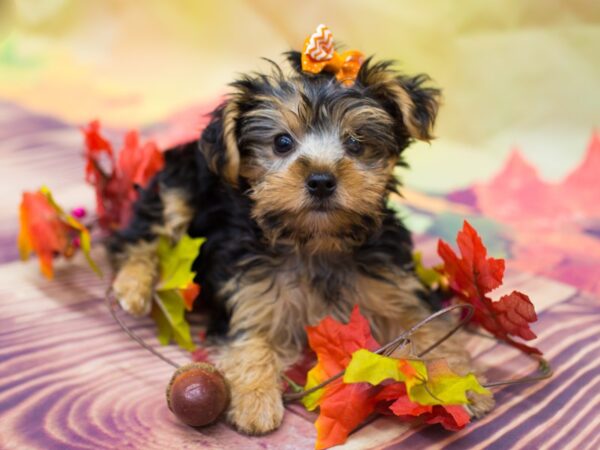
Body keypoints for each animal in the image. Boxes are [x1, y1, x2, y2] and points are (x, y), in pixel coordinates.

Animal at [108, 51, 492, 434]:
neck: (316, 241)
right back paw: (132, 288)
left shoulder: (398, 289)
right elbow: (250, 340)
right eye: (281, 142)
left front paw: (457, 385)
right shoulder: (248, 294)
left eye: (355, 142)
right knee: (141, 236)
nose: (321, 180)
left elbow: (430, 329)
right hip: (177, 186)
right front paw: (256, 401)